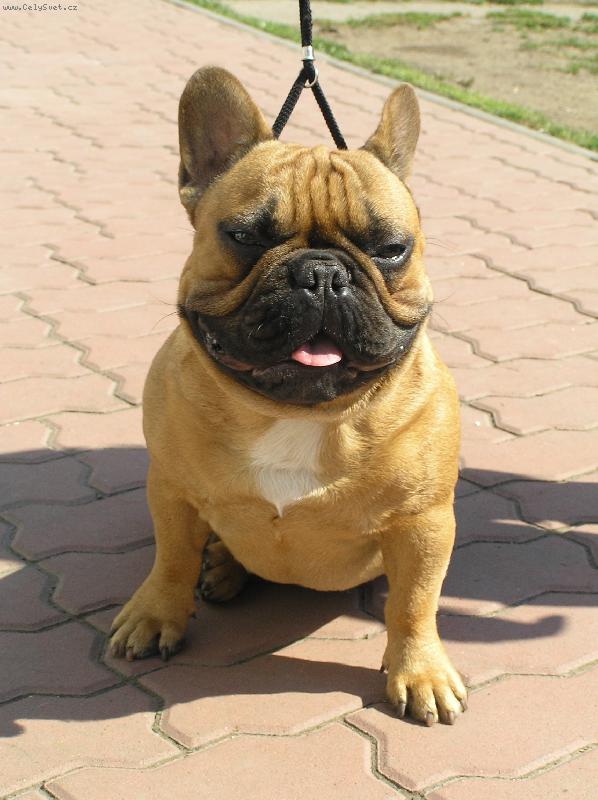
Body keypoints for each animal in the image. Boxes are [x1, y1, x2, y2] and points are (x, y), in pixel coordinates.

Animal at [110, 66, 467, 726]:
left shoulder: (424, 522)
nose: (323, 273)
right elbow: (170, 557)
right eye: (245, 236)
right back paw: (223, 569)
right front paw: (154, 614)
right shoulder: (170, 490)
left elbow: (414, 603)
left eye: (391, 249)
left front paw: (420, 672)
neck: (297, 414)